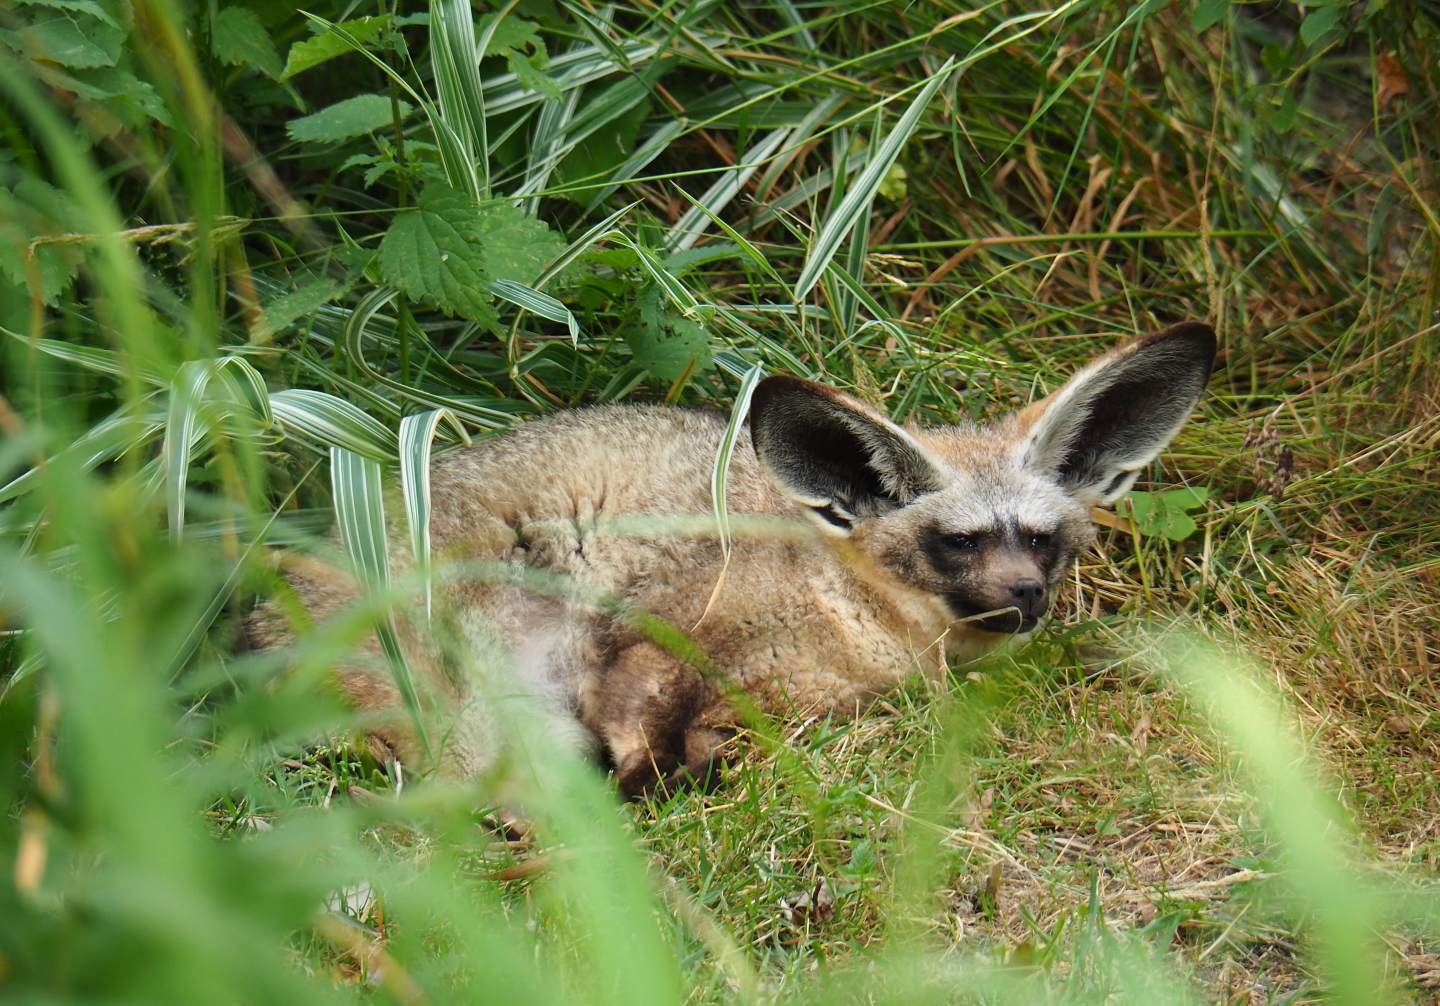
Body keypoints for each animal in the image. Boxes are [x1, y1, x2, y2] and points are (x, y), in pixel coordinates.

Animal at [250, 321, 1215, 798]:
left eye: (1042, 540)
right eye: (960, 542)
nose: (1024, 597)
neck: (848, 621)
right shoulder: (653, 644)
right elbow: (644, 745)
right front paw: (654, 789)